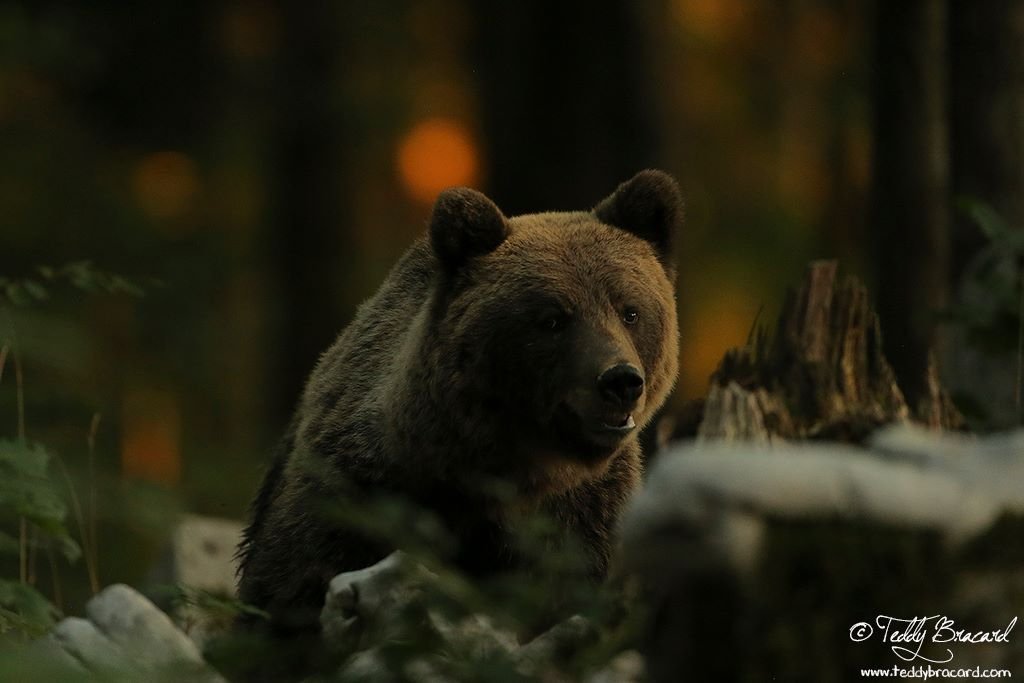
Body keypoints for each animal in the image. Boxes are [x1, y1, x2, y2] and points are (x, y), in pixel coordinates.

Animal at [236, 169, 684, 634]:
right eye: (553, 319)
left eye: (630, 310)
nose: (620, 380)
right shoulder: (357, 491)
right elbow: (292, 581)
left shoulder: (587, 516)